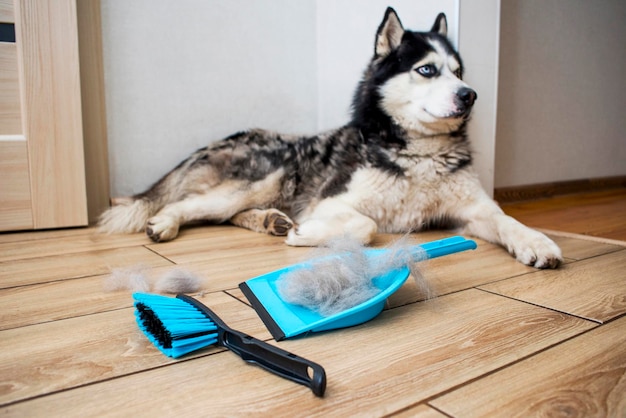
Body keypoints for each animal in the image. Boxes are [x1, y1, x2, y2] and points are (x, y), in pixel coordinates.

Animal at [98, 8, 560, 270]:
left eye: (458, 71)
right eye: (427, 70)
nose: (470, 95)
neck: (417, 155)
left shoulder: (473, 211)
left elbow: (508, 220)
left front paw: (537, 242)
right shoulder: (334, 202)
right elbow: (367, 225)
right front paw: (308, 234)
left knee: (225, 214)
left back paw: (270, 221)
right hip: (268, 175)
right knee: (190, 205)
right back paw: (166, 222)